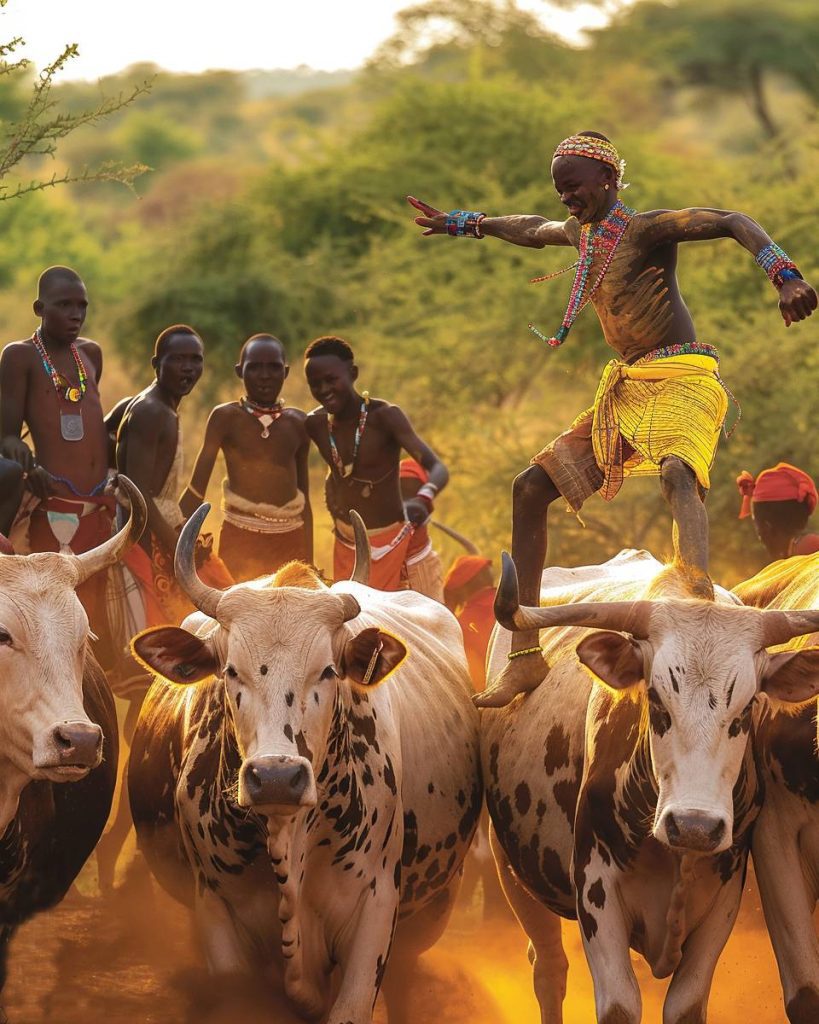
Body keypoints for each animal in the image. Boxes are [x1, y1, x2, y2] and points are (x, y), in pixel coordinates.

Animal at [477, 552, 818, 1024]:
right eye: (656, 699)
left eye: (748, 707)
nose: (694, 826)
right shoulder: (596, 893)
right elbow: (619, 1006)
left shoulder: (723, 901)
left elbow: (685, 1006)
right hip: (512, 869)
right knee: (548, 967)